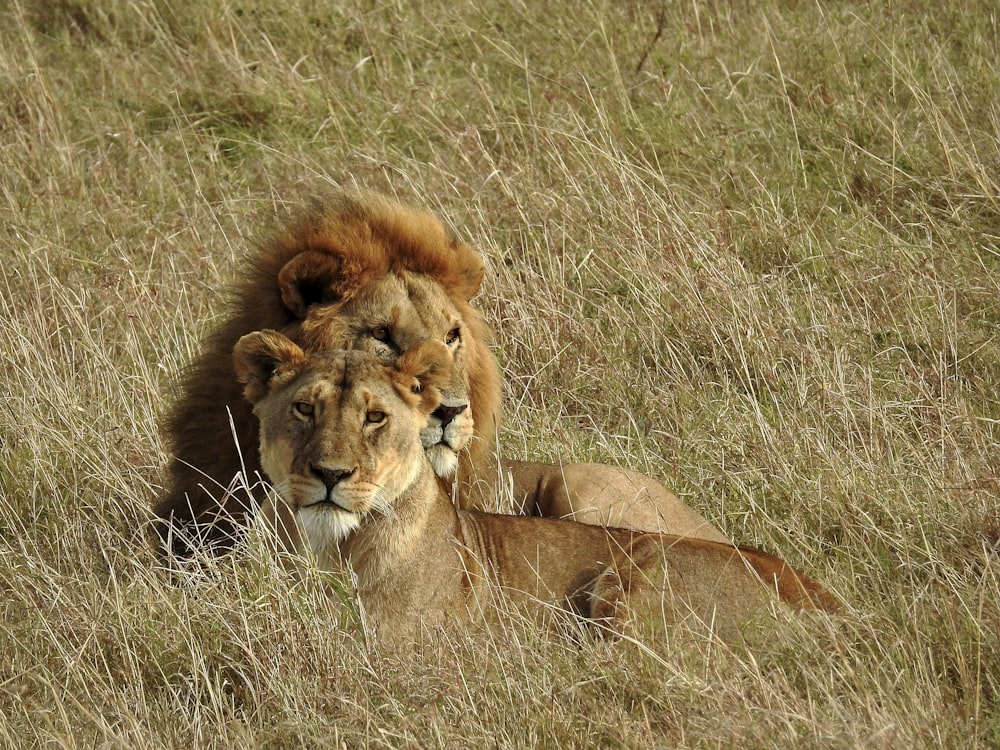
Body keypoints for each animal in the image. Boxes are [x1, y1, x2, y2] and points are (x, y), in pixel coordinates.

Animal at [234, 334, 836, 648]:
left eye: (375, 417)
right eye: (304, 408)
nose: (331, 474)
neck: (327, 546)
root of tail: (819, 597)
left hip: (632, 559)